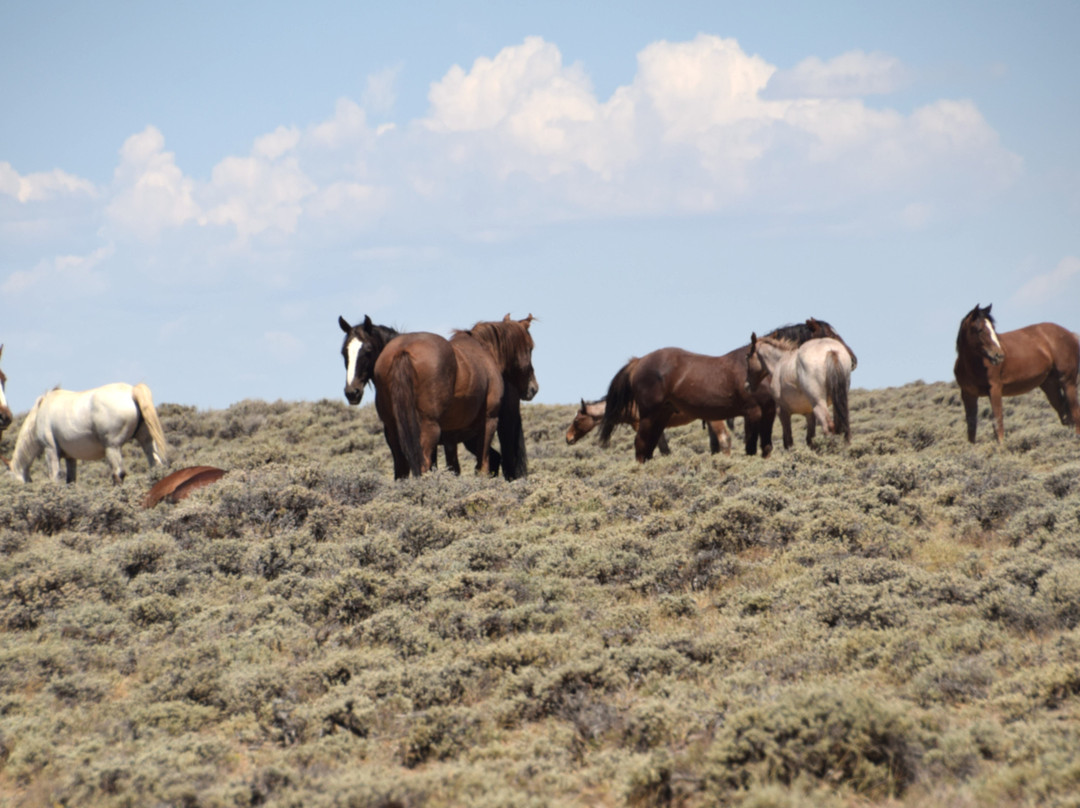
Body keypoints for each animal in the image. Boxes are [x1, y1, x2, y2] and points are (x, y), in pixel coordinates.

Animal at [8, 383, 169, 484]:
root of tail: (132, 391)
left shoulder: (51, 450)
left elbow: (54, 477)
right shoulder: (70, 457)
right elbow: (71, 481)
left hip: (112, 448)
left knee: (118, 474)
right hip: (146, 442)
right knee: (155, 465)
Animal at [372, 314, 538, 480]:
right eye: (530, 347)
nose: (533, 388)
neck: (484, 351)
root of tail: (403, 349)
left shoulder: (450, 436)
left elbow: (454, 467)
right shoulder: (489, 420)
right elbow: (483, 465)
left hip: (393, 430)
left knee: (402, 469)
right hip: (429, 429)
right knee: (424, 464)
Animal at [599, 348, 775, 462]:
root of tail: (638, 361)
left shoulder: (768, 412)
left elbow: (766, 446)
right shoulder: (752, 411)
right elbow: (751, 447)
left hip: (661, 416)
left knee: (650, 446)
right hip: (649, 416)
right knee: (641, 445)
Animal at [953, 304, 1080, 443]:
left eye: (993, 328)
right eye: (980, 329)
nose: (999, 355)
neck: (973, 365)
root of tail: (1070, 334)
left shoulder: (995, 390)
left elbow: (998, 421)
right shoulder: (968, 395)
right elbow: (971, 427)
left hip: (1068, 382)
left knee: (1075, 412)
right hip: (1050, 386)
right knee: (1064, 414)